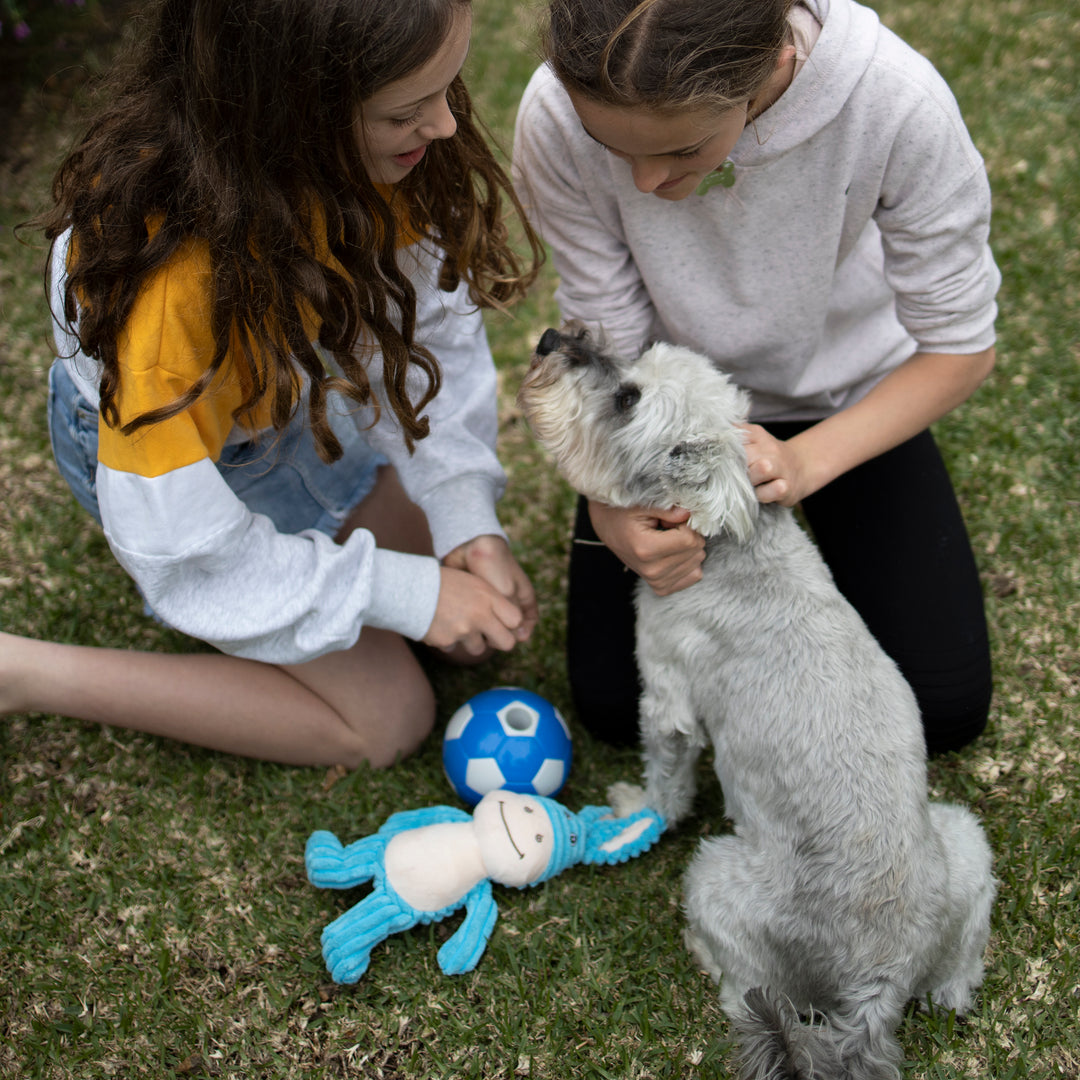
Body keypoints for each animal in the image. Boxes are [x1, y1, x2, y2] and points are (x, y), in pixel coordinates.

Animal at [514, 321, 993, 1080]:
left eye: (627, 397)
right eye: (634, 360)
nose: (554, 336)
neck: (729, 542)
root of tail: (882, 977)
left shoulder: (667, 701)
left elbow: (665, 781)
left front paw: (634, 815)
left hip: (714, 876)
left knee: (743, 990)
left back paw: (702, 951)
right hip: (966, 842)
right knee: (959, 976)